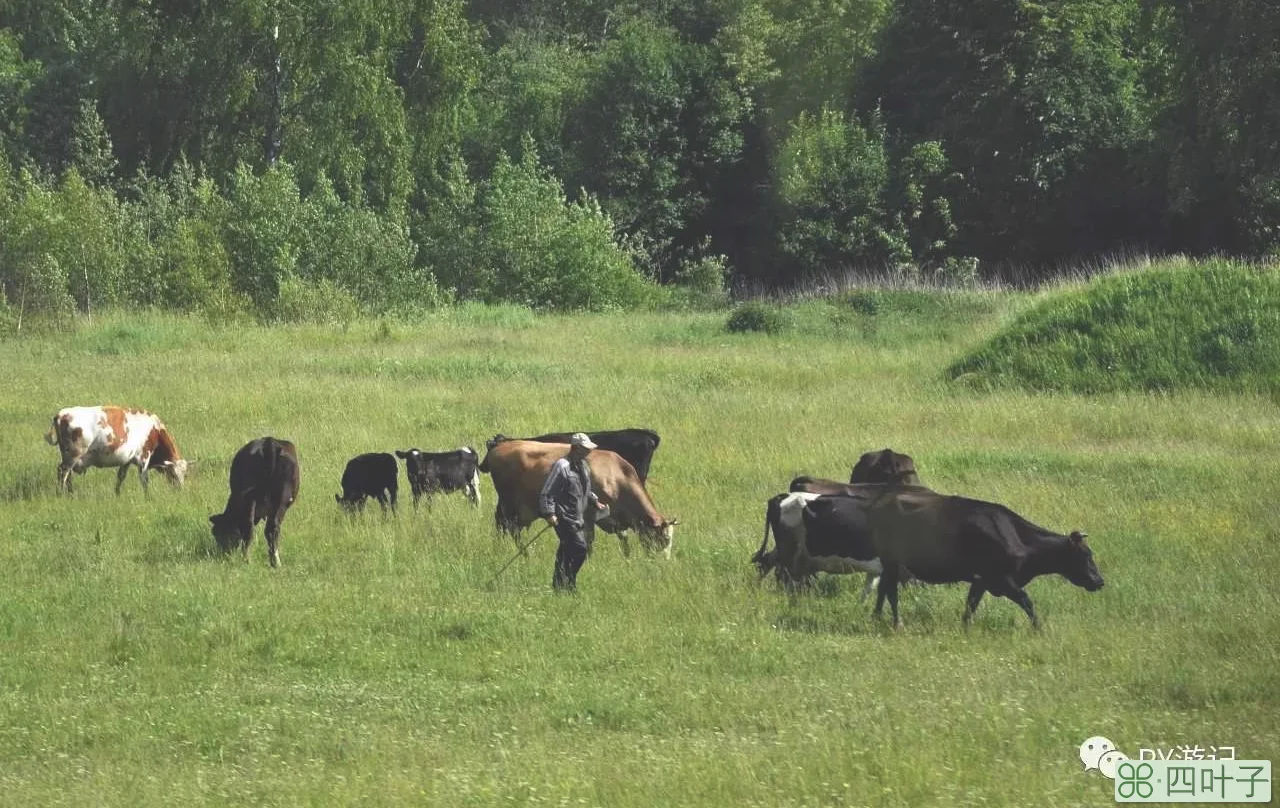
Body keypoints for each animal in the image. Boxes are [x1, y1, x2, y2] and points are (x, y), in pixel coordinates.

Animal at [44, 404, 188, 494]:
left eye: (185, 474)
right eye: (173, 473)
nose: (180, 489)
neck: (154, 430)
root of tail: (61, 414)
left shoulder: (127, 460)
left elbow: (120, 477)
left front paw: (117, 494)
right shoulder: (144, 458)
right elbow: (144, 480)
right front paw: (148, 497)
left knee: (68, 475)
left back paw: (71, 494)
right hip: (72, 455)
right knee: (63, 472)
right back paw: (61, 494)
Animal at [209, 435, 299, 568]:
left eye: (217, 533)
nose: (224, 554)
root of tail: (269, 443)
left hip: (254, 500)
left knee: (252, 529)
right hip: (276, 502)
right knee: (268, 529)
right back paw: (271, 562)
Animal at [481, 440, 680, 558]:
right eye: (663, 539)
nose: (664, 562)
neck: (617, 476)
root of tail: (499, 447)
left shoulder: (616, 521)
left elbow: (624, 541)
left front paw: (627, 559)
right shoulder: (589, 517)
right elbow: (589, 541)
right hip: (510, 505)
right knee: (508, 528)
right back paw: (522, 553)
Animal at [865, 486, 1105, 632]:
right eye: (1085, 555)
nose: (1100, 581)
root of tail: (883, 501)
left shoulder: (981, 580)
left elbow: (971, 604)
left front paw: (965, 628)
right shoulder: (1001, 578)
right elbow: (1026, 600)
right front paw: (1039, 628)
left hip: (890, 564)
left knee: (884, 588)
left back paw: (876, 618)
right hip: (892, 561)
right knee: (890, 591)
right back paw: (897, 623)